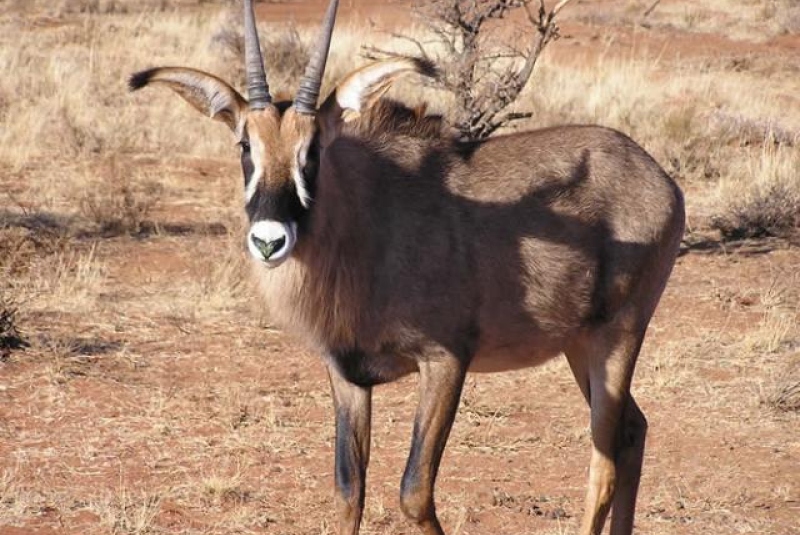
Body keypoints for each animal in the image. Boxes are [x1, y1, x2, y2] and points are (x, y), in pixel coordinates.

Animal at [130, 1, 680, 535]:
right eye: (246, 146)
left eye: (314, 150)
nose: (270, 241)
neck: (368, 221)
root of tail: (659, 177)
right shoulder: (347, 376)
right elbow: (348, 491)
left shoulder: (445, 362)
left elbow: (414, 493)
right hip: (578, 346)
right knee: (633, 430)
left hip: (617, 337)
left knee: (605, 460)